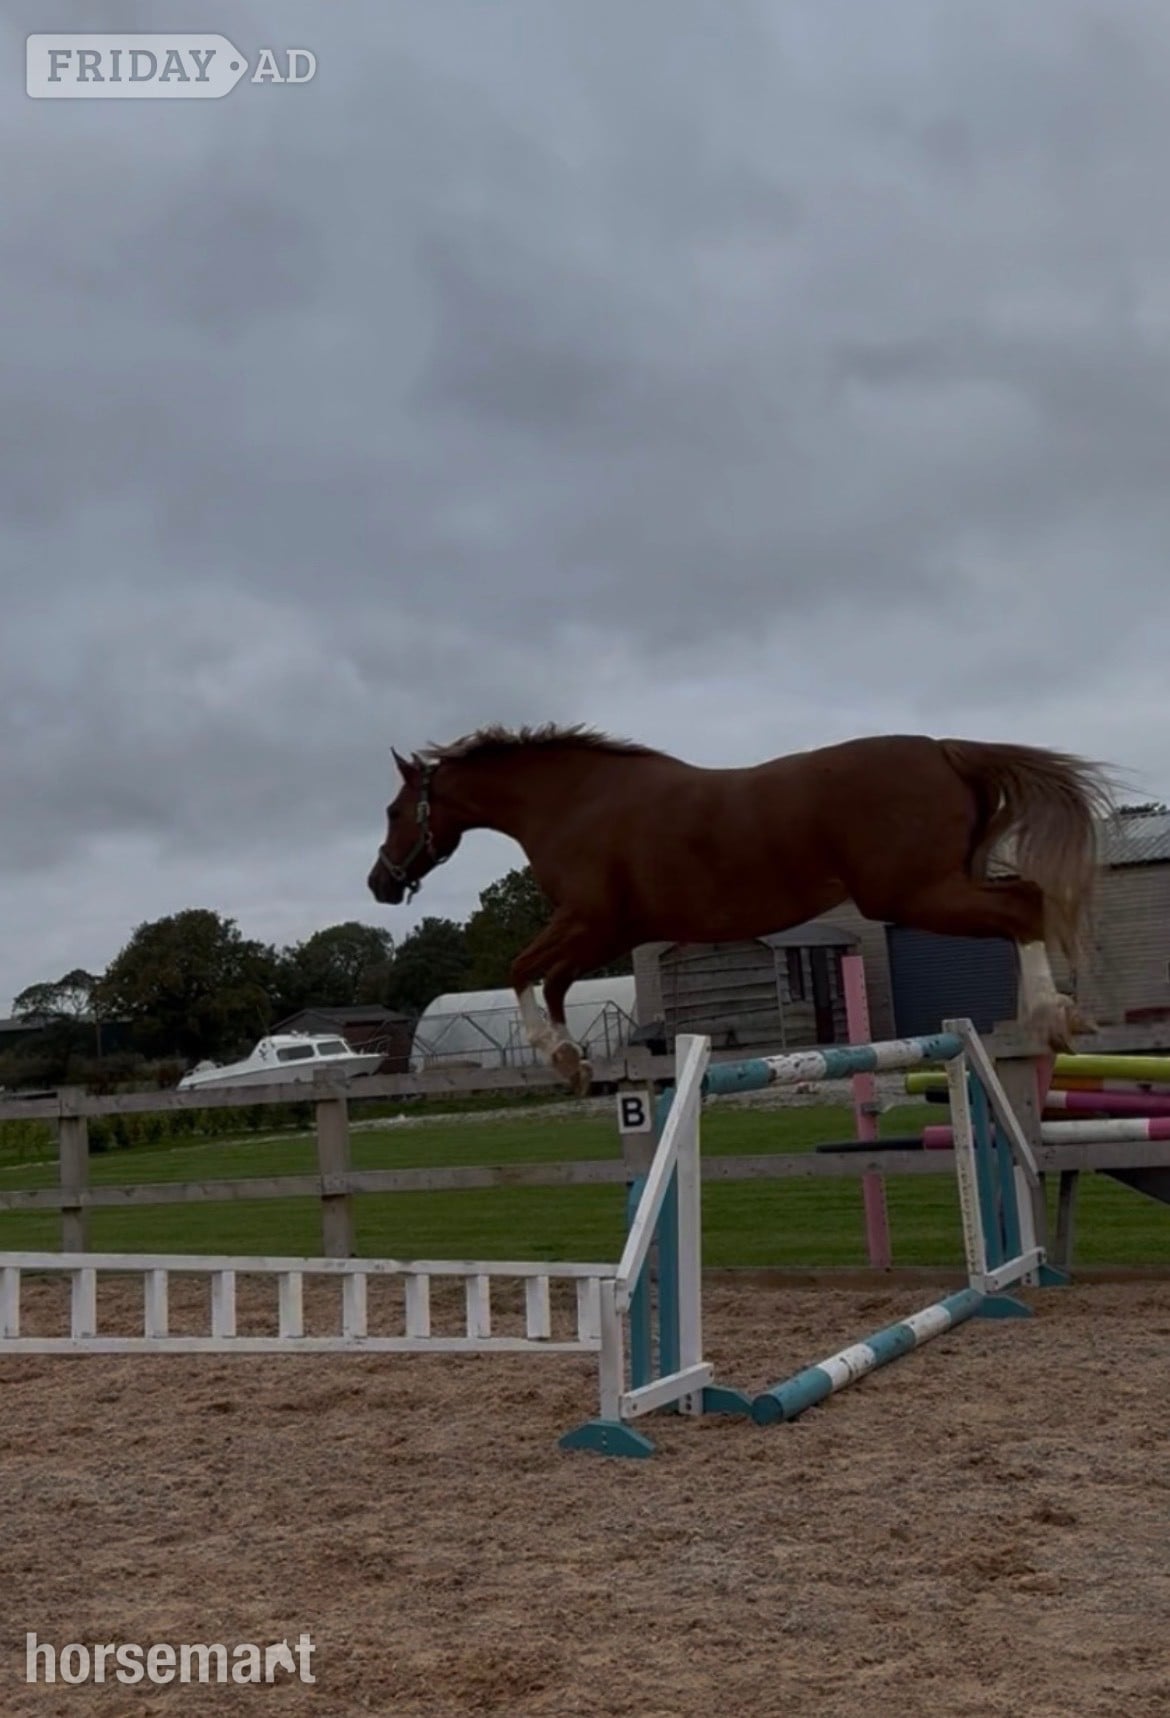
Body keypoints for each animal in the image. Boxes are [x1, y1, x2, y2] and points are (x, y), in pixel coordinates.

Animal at [367, 724, 1120, 1095]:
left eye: (396, 811)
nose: (379, 882)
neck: (576, 802)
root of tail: (944, 752)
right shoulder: (607, 931)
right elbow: (549, 980)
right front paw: (573, 1061)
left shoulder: (590, 920)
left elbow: (525, 970)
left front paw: (562, 1057)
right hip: (936, 886)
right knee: (1024, 905)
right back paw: (1046, 1017)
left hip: (916, 893)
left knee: (1021, 908)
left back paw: (1049, 1018)